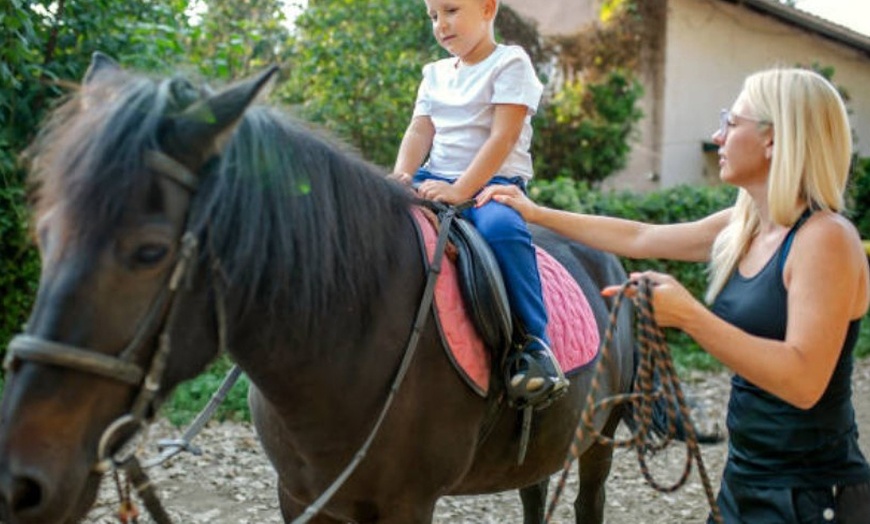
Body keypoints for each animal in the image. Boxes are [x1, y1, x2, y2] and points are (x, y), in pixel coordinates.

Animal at [0, 55, 640, 520]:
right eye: (45, 234)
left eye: (149, 251)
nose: (19, 482)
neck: (350, 340)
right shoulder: (301, 496)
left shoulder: (408, 504)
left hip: (600, 438)